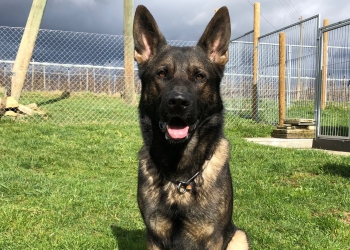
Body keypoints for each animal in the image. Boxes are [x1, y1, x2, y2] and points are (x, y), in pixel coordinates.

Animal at [133, 5, 250, 250]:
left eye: (199, 76)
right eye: (161, 74)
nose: (178, 102)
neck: (180, 177)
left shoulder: (213, 238)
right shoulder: (154, 237)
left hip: (239, 236)